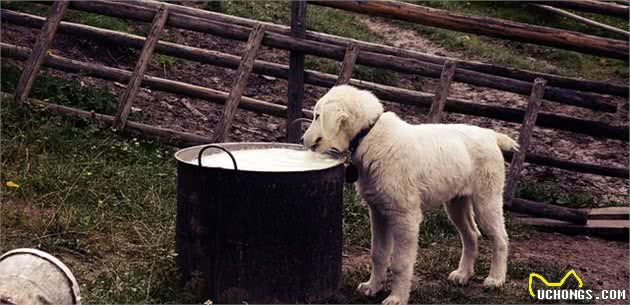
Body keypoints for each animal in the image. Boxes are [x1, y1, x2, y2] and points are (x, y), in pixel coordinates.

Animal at [302, 84, 520, 302]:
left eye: (317, 116)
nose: (302, 139)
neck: (368, 134)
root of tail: (491, 135)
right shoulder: (378, 211)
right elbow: (378, 254)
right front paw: (372, 287)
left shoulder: (405, 217)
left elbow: (400, 262)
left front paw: (397, 298)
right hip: (456, 202)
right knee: (471, 234)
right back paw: (463, 275)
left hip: (487, 198)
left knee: (500, 237)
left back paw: (496, 279)